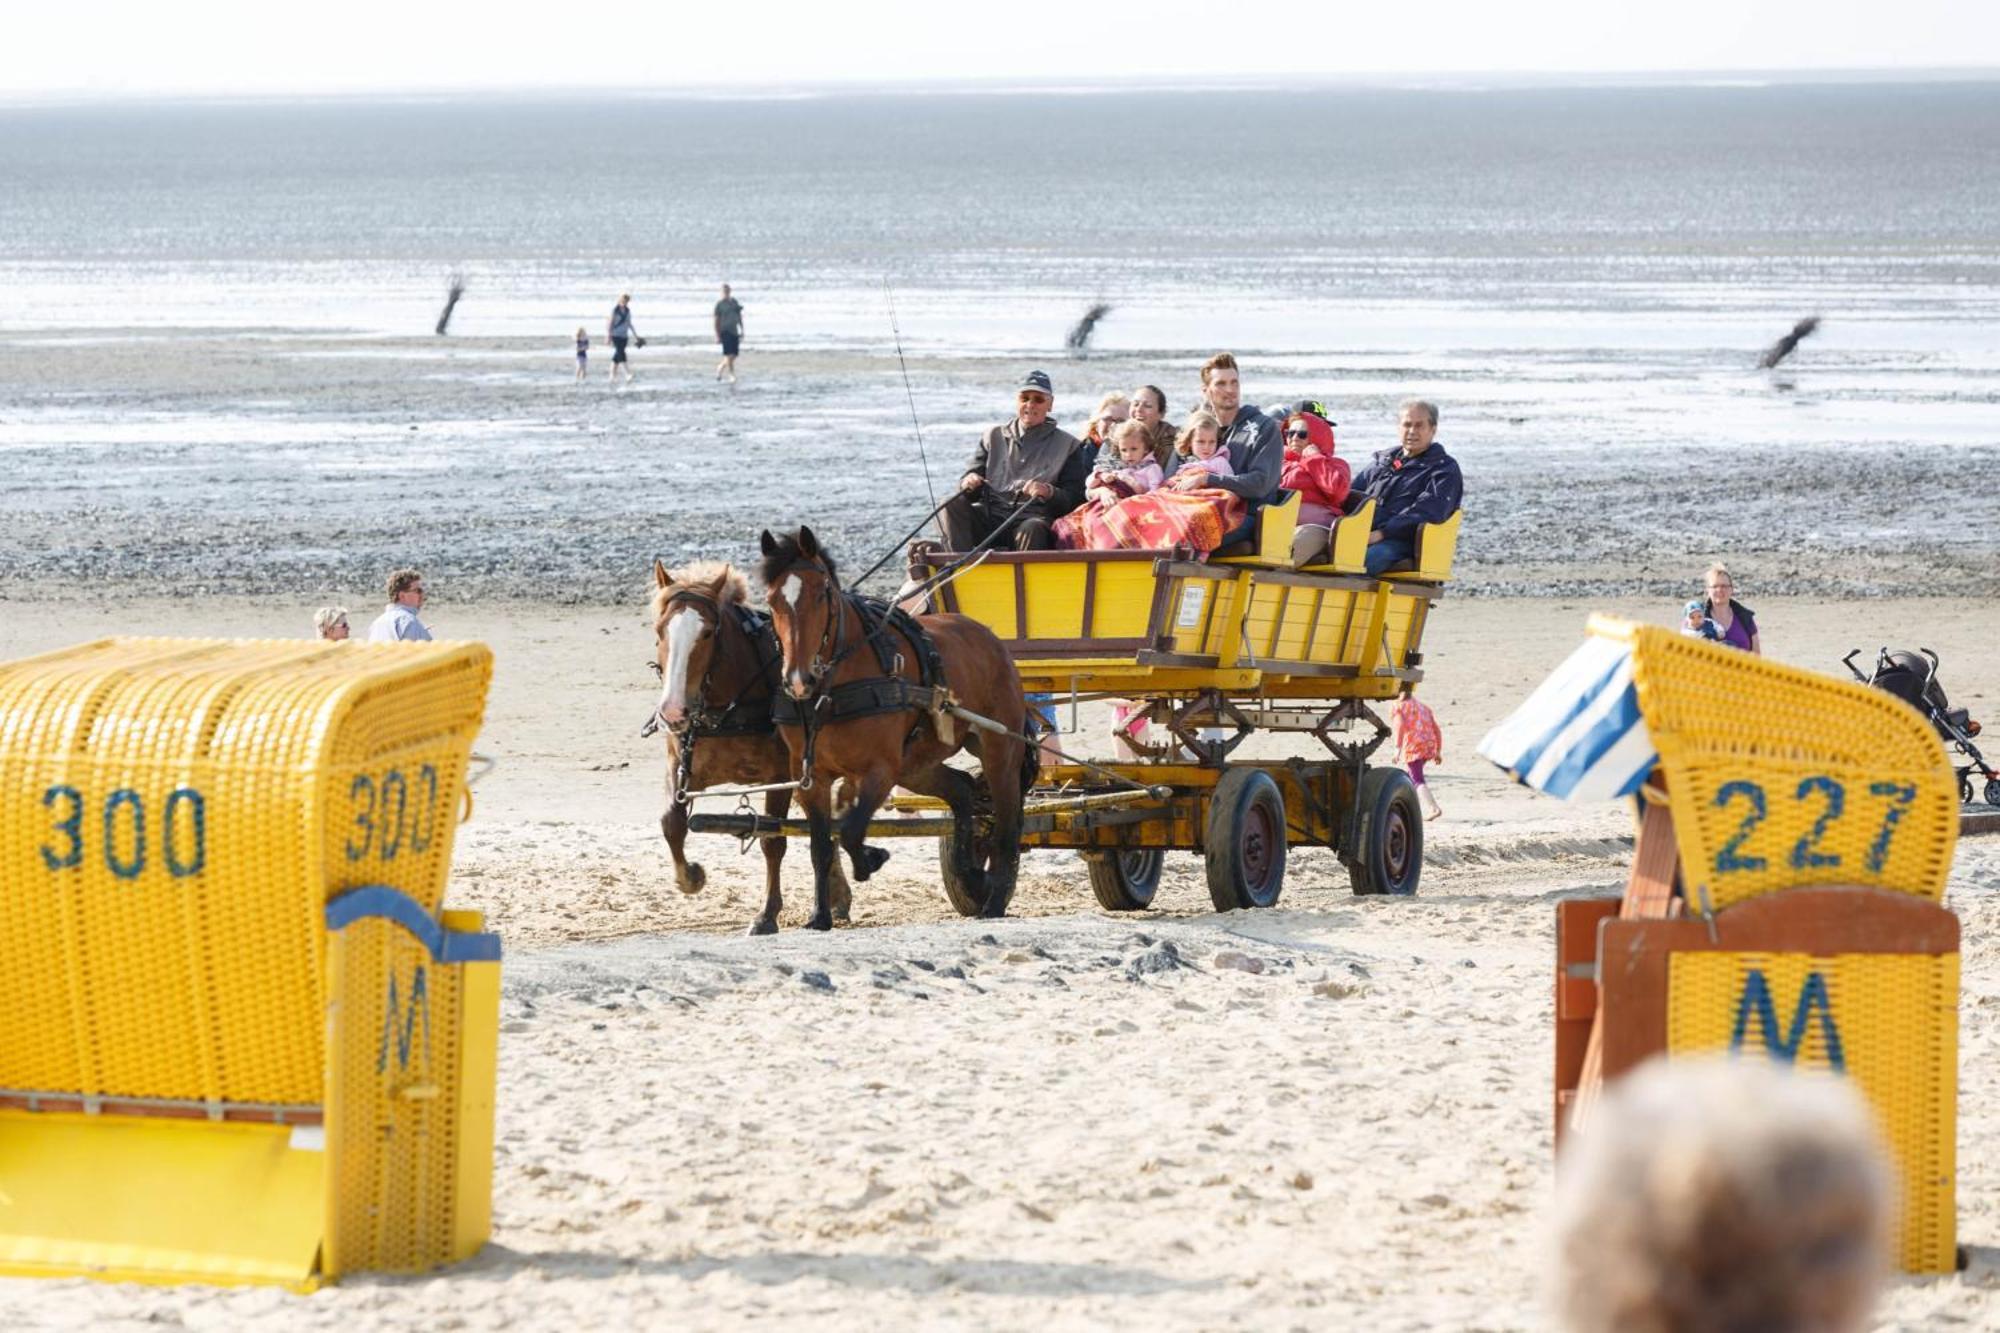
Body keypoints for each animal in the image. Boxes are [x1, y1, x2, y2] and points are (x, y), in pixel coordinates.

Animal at [648, 560, 852, 932]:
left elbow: (773, 840)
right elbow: (671, 822)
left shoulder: (781, 775)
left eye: (707, 633)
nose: (672, 711)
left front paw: (767, 912)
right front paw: (690, 877)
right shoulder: (679, 764)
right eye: (660, 630)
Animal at [760, 524, 1040, 928]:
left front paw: (869, 859)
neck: (833, 689)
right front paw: (819, 915)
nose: (798, 680)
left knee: (1006, 823)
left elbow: (851, 830)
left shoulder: (880, 769)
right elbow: (821, 846)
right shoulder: (810, 775)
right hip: (916, 765)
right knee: (962, 790)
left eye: (820, 594)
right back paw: (969, 871)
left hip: (999, 750)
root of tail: (988, 637)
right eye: (771, 601)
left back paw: (995, 900)